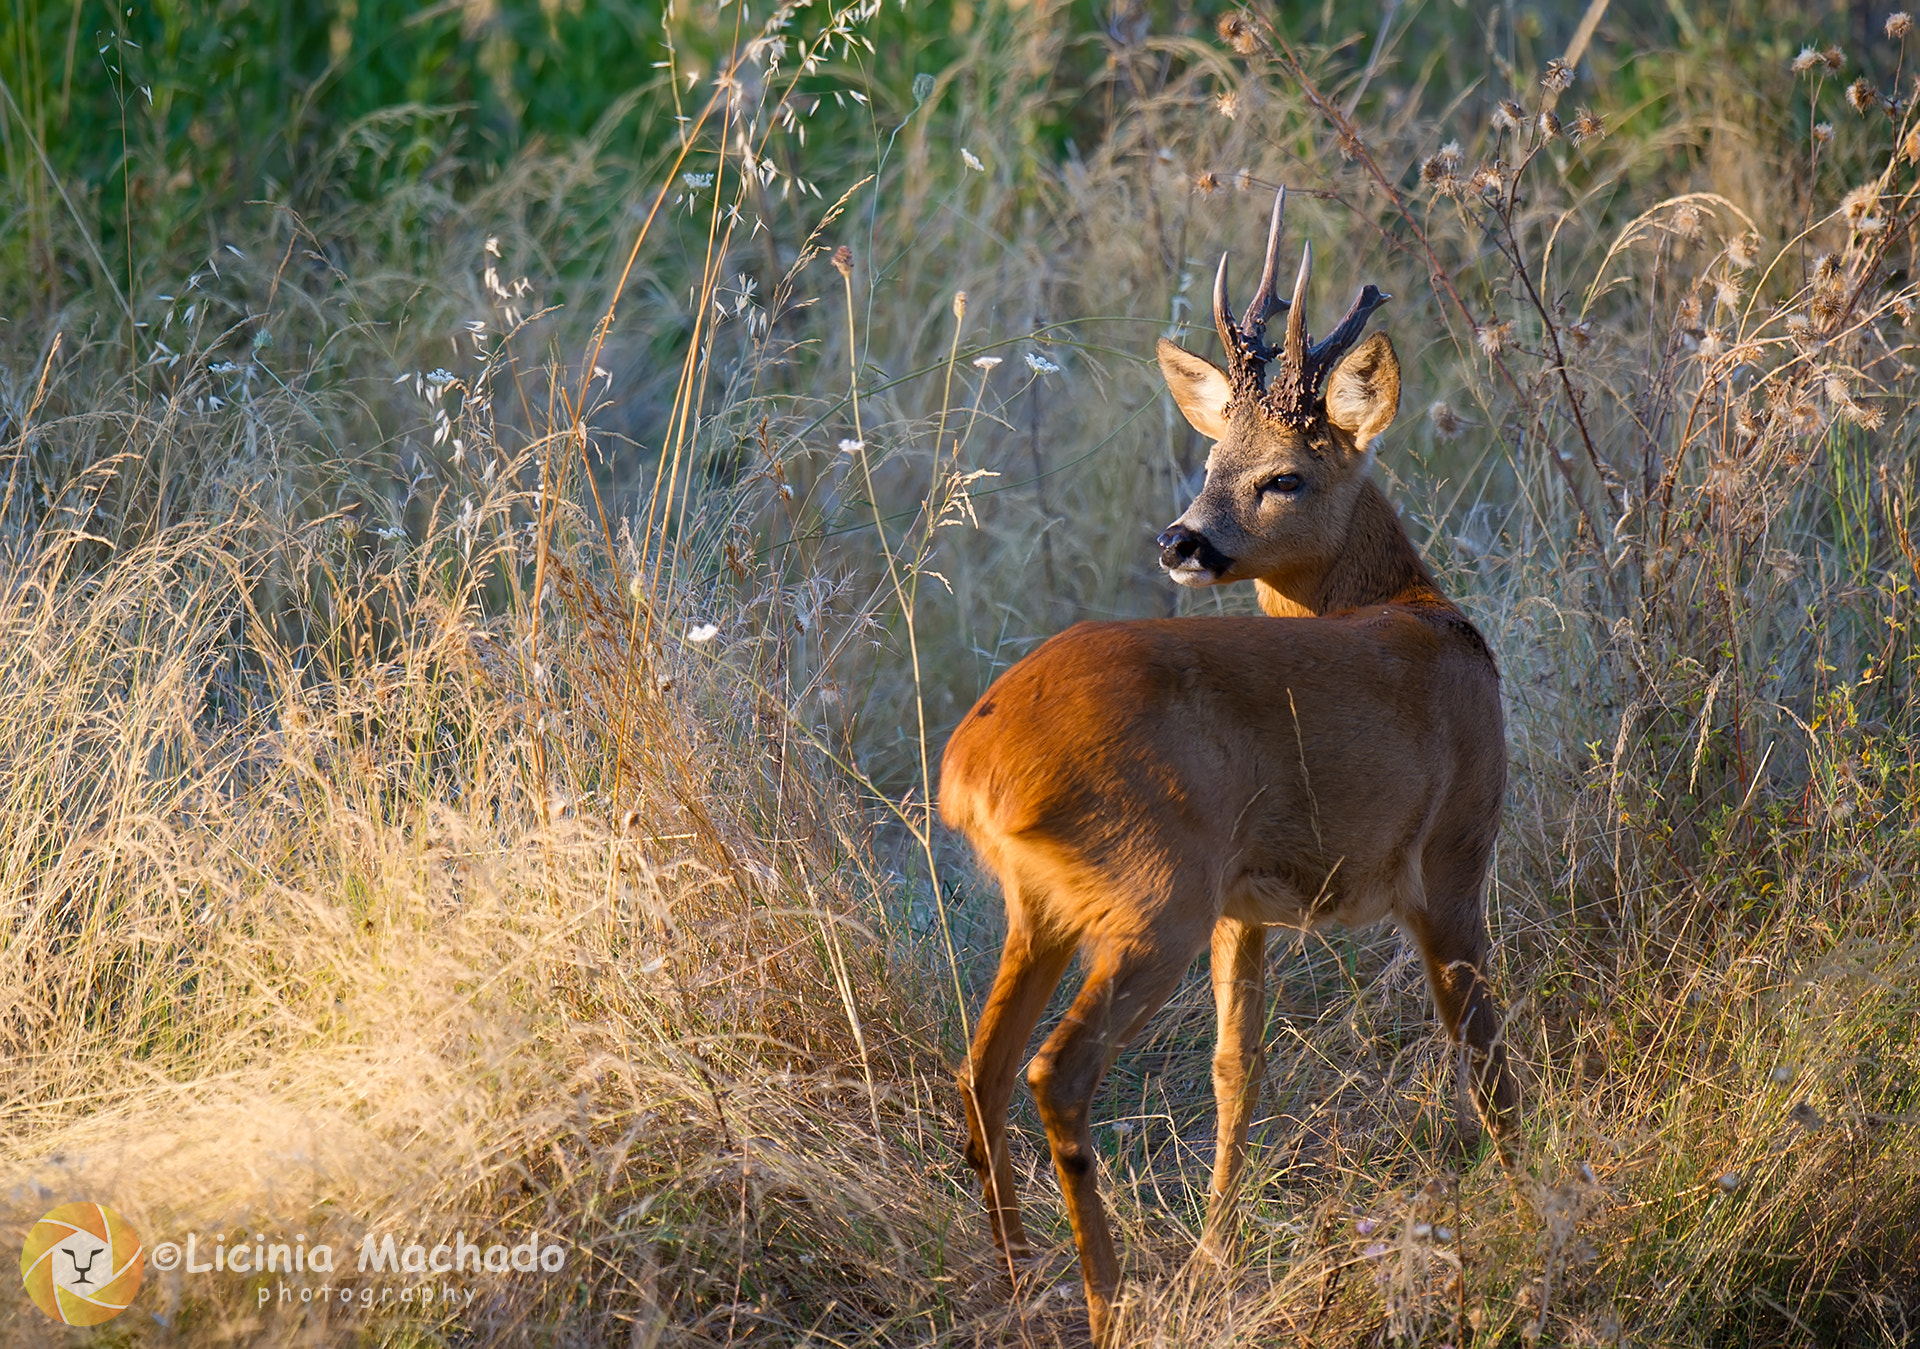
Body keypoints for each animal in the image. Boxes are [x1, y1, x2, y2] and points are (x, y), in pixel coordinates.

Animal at [939, 189, 1518, 1346]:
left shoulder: (1245, 905)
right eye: (1212, 464)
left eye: (1280, 473)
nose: (1180, 541)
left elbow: (1235, 1068)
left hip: (1049, 903)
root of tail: (973, 768)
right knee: (1055, 1069)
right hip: (1153, 886)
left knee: (982, 1066)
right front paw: (1545, 1201)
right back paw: (1108, 1300)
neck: (1421, 612)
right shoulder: (1450, 849)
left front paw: (1216, 1249)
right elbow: (1483, 1055)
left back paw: (1022, 1281)